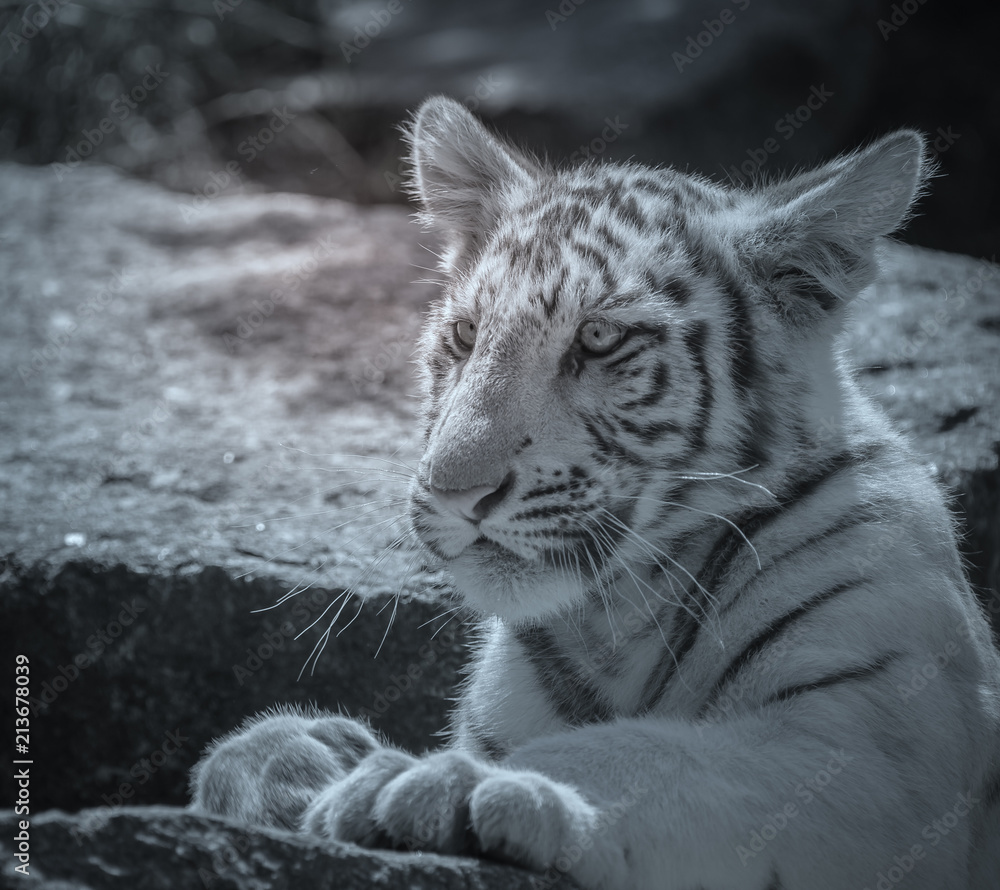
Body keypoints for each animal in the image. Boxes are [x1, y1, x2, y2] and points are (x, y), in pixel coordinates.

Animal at [190, 95, 1000, 889]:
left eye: (601, 339)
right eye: (466, 335)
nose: (454, 491)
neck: (617, 620)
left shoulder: (865, 749)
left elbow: (648, 754)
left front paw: (441, 783)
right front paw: (287, 755)